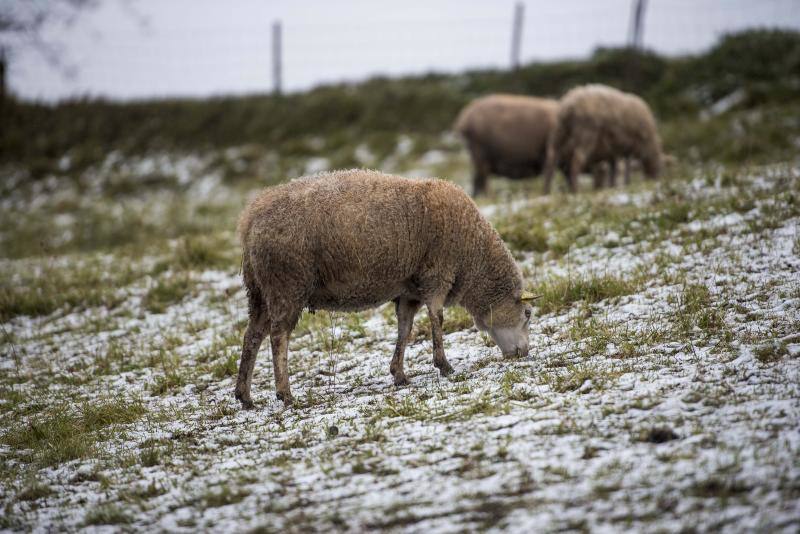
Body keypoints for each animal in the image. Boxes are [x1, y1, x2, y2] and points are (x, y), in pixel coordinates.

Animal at [238, 170, 536, 408]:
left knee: (252, 336)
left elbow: (405, 329)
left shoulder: (409, 291)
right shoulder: (437, 275)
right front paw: (444, 365)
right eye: (528, 313)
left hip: (259, 290)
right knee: (278, 337)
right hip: (287, 284)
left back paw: (245, 396)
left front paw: (399, 374)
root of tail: (250, 219)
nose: (524, 353)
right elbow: (436, 319)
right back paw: (285, 393)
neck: (473, 255)